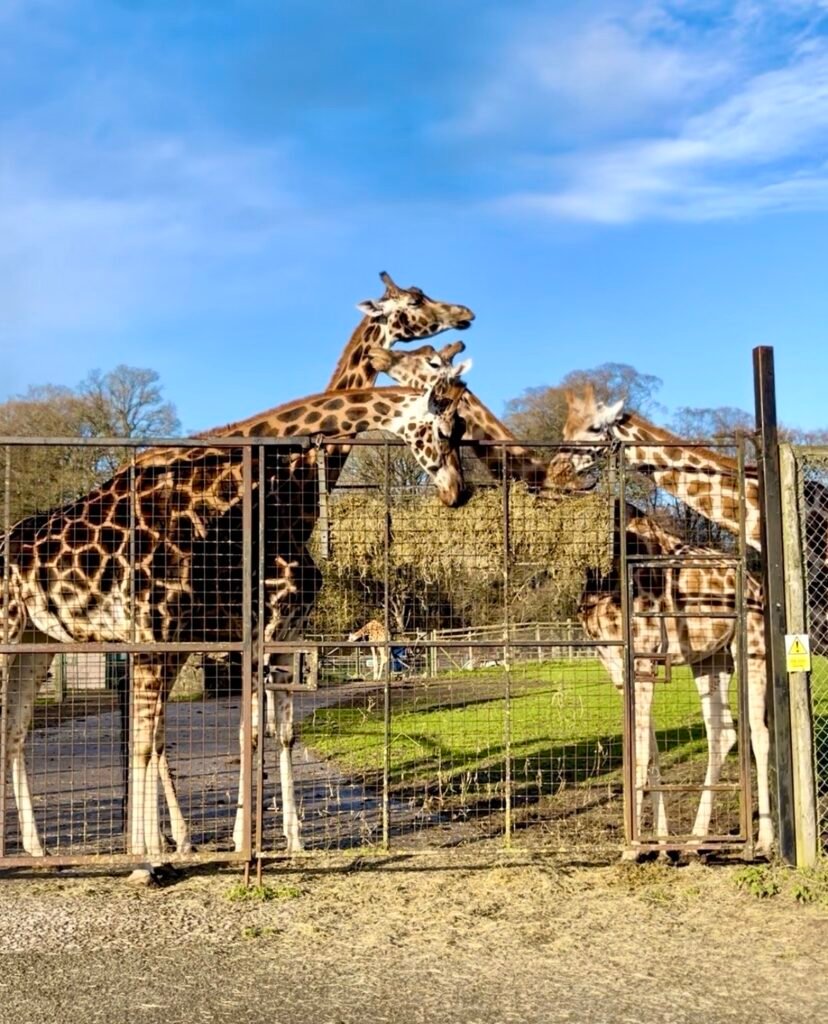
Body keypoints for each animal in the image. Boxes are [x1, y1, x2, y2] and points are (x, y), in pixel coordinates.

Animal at [1, 380, 469, 864]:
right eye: (445, 429)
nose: (458, 490)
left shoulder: (263, 635)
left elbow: (268, 733)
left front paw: (279, 839)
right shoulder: (183, 632)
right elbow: (175, 739)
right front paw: (163, 851)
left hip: (39, 642)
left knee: (16, 730)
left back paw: (39, 846)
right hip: (12, 625)